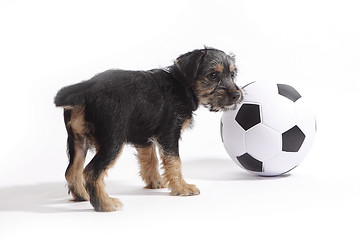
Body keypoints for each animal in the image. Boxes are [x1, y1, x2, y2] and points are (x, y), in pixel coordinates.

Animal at [54, 47, 242, 212]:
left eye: (232, 75)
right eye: (213, 75)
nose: (237, 95)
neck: (181, 84)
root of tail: (86, 90)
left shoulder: (143, 137)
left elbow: (150, 159)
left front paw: (156, 182)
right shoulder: (169, 134)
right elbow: (175, 162)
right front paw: (182, 187)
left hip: (77, 141)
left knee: (72, 171)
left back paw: (82, 195)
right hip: (113, 141)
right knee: (91, 172)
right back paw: (105, 204)